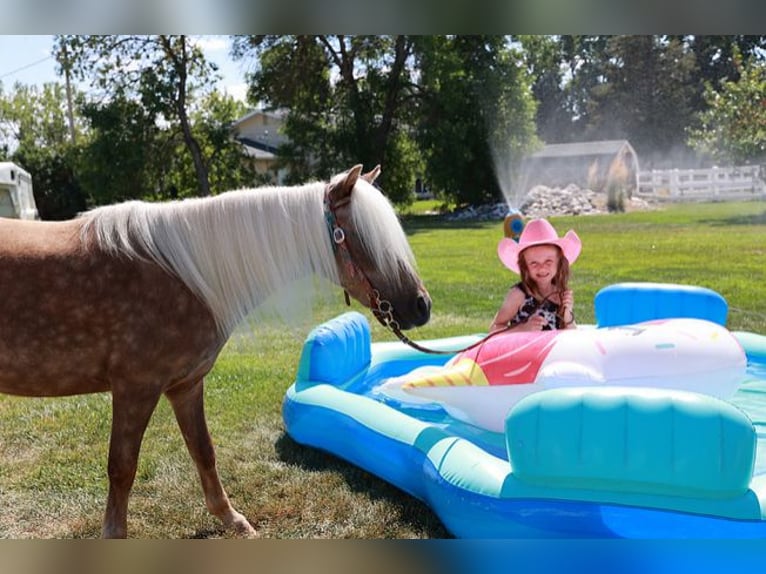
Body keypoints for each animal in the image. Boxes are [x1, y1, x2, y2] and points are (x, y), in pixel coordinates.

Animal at [0, 164, 431, 538]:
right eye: (364, 238)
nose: (421, 306)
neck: (186, 276)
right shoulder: (135, 388)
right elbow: (122, 468)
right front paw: (114, 535)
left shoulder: (185, 386)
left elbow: (203, 452)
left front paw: (233, 520)